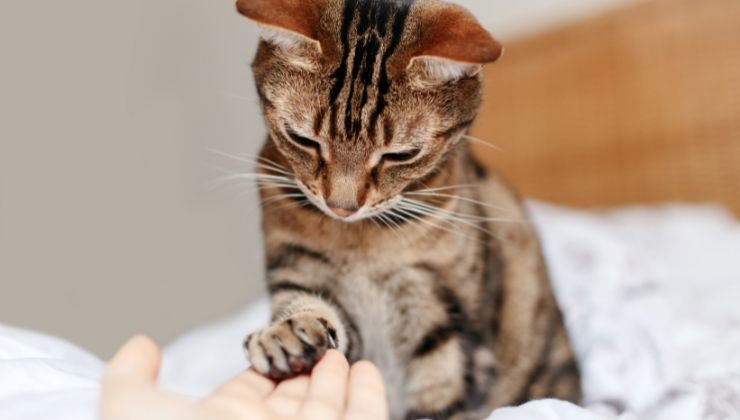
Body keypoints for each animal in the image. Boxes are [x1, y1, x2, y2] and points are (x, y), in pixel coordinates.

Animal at [237, 0, 584, 416]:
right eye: (302, 139)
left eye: (400, 155)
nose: (341, 207)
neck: (362, 245)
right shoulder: (299, 269)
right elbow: (305, 305)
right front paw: (285, 334)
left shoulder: (443, 323)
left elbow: (440, 397)